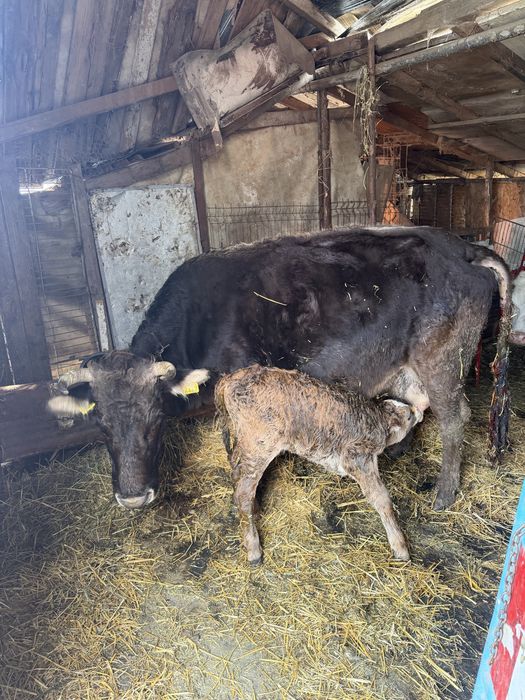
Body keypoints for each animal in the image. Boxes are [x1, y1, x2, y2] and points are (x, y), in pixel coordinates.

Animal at [47, 227, 511, 512]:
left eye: (156, 419)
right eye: (101, 425)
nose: (132, 498)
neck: (203, 317)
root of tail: (461, 248)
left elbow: (237, 451)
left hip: (443, 359)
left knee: (454, 417)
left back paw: (445, 492)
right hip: (407, 362)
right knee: (416, 404)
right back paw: (398, 449)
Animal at [215, 364, 423, 564]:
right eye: (408, 416)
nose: (419, 412)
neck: (373, 419)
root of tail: (231, 377)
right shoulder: (357, 458)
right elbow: (381, 499)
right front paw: (400, 547)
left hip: (245, 445)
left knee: (236, 469)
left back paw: (255, 509)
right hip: (259, 445)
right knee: (243, 492)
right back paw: (254, 550)